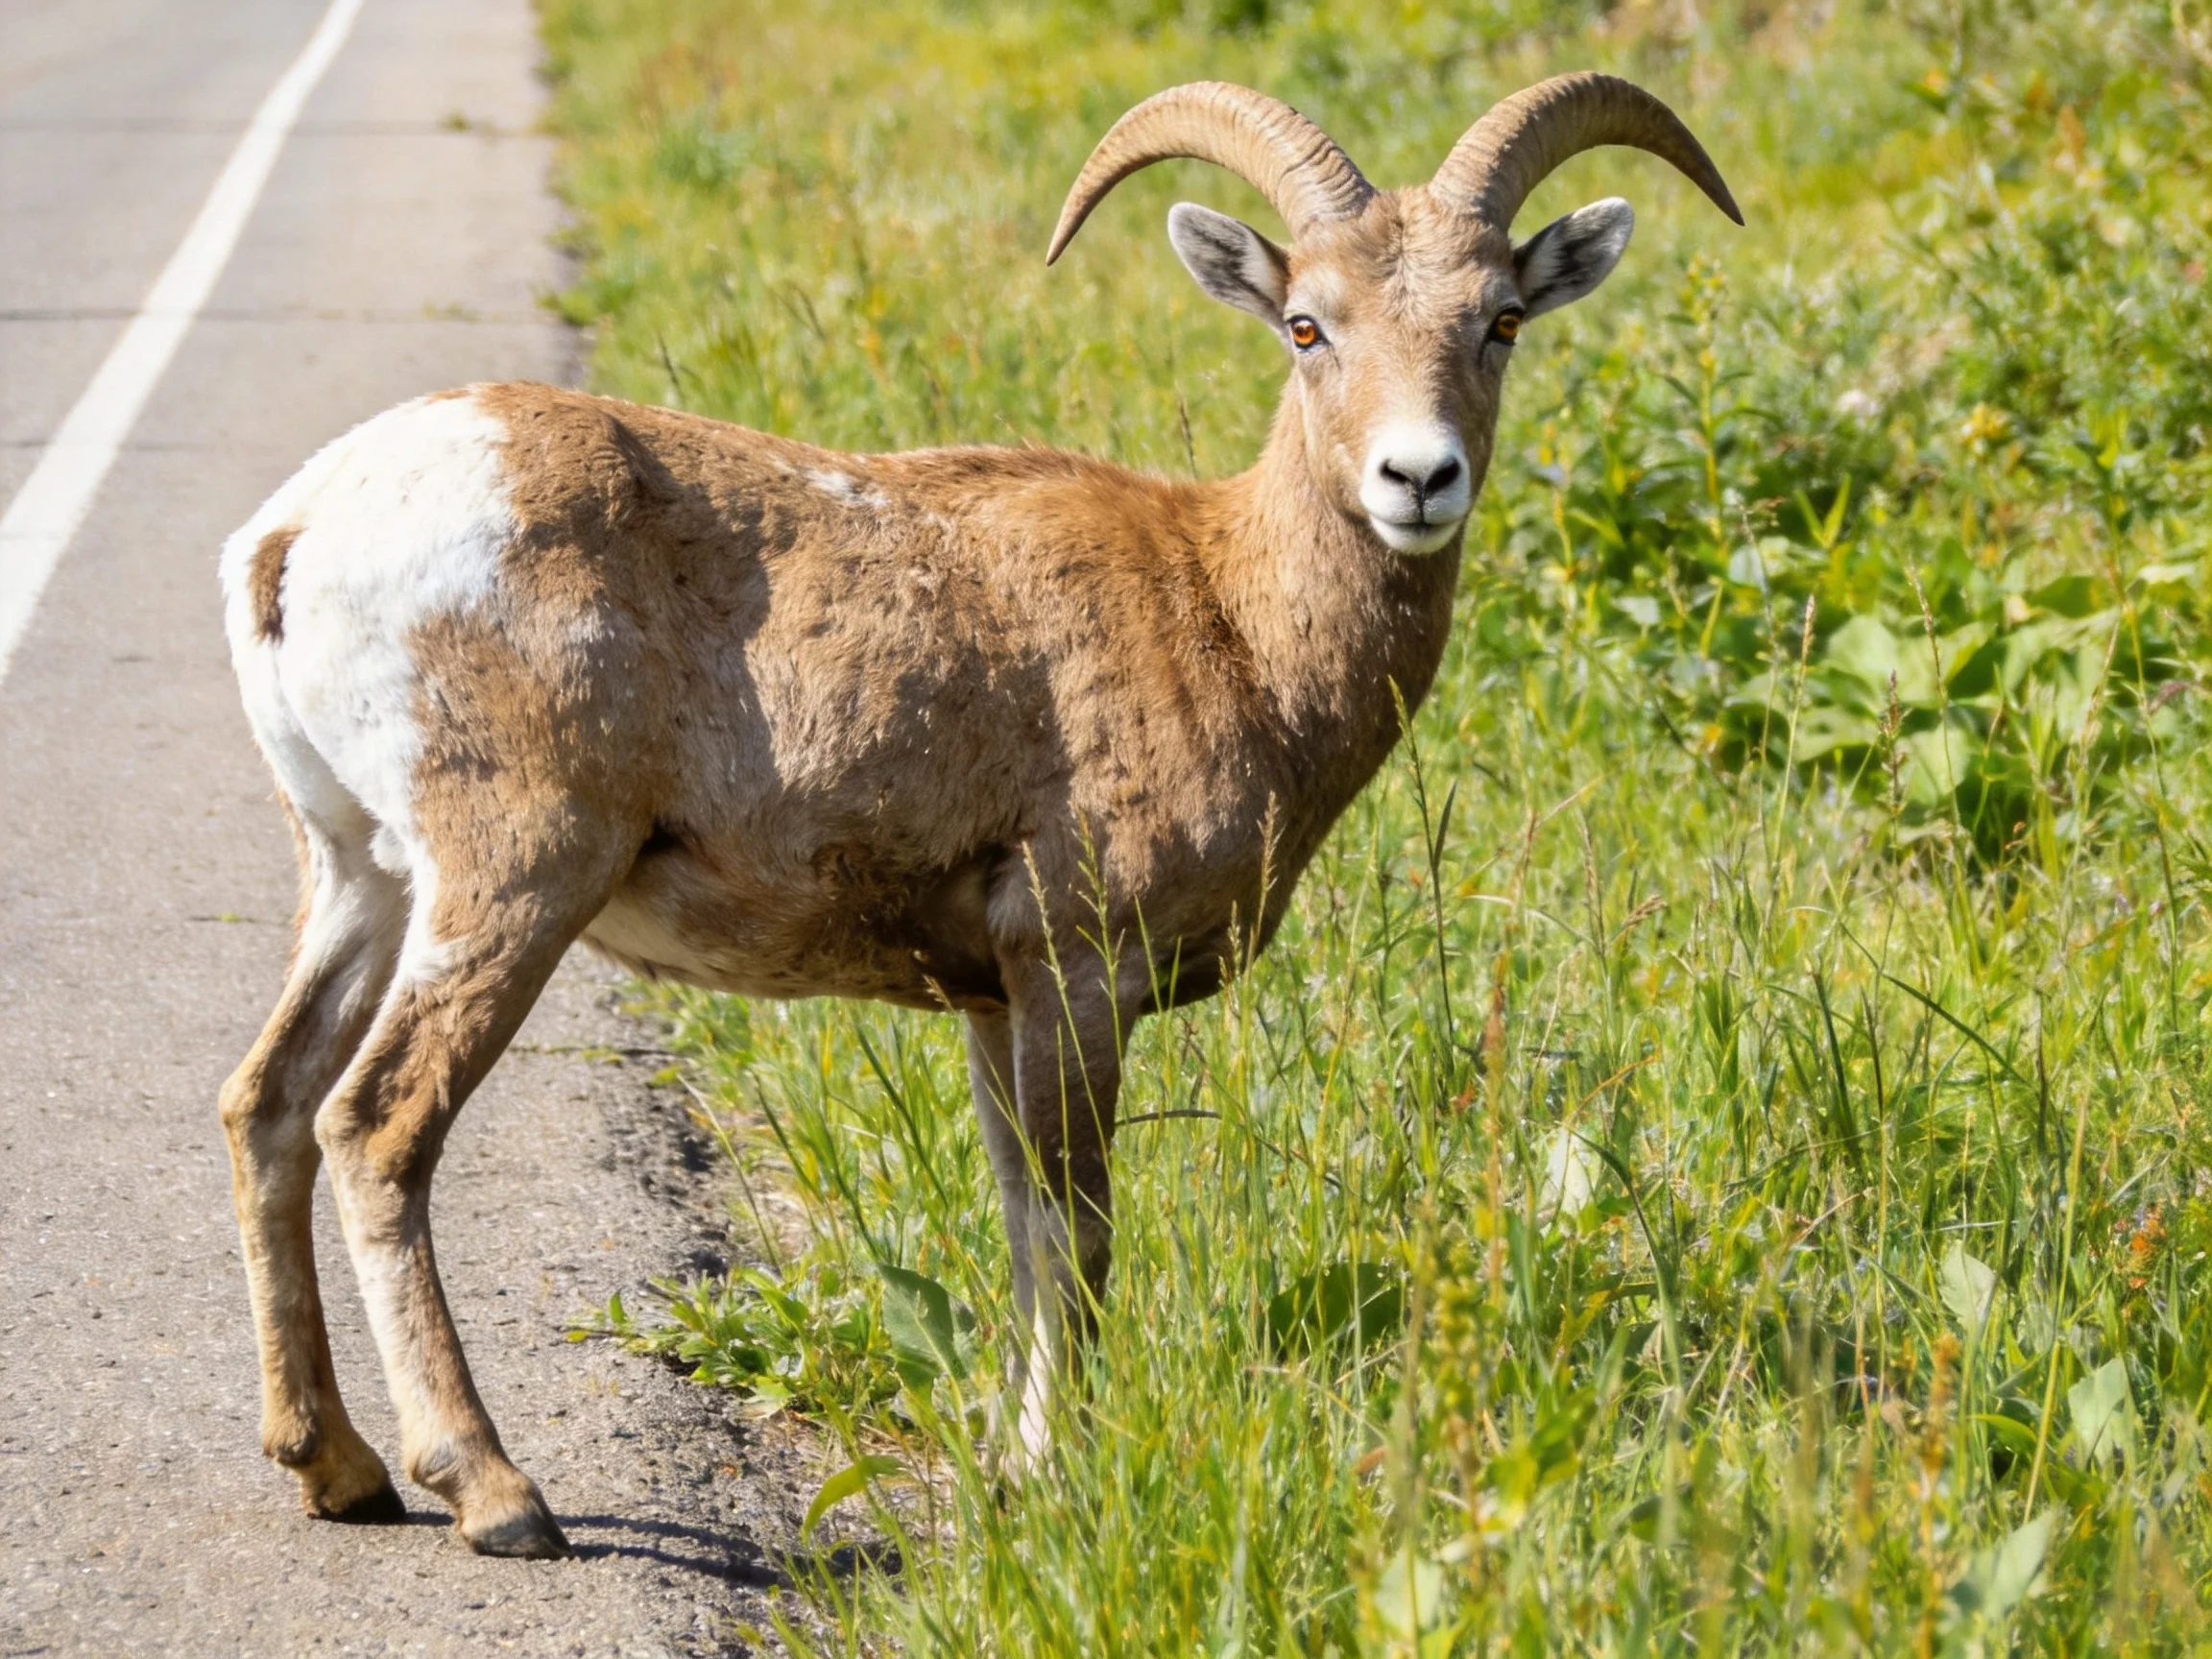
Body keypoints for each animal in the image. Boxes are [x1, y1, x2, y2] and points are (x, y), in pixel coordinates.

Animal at [214, 72, 1738, 1557]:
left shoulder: (991, 1000)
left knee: (270, 1103)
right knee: (376, 1124)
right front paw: (1060, 1474)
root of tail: (296, 534)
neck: (1228, 612)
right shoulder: (1077, 969)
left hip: (360, 876)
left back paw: (336, 1468)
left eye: (1500, 322)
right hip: (513, 879)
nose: (1417, 480)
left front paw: (1009, 1466)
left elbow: (1016, 1222)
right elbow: (1079, 1230)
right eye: (1309, 323)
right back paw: (493, 1493)